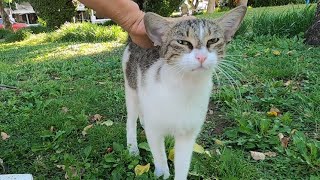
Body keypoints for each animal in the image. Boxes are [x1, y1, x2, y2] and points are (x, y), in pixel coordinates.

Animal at [121, 4, 246, 179]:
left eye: (213, 40)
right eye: (182, 42)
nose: (201, 57)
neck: (186, 88)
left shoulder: (188, 135)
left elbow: (183, 164)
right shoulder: (155, 131)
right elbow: (160, 159)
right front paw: (163, 173)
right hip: (131, 87)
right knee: (131, 119)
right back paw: (132, 147)